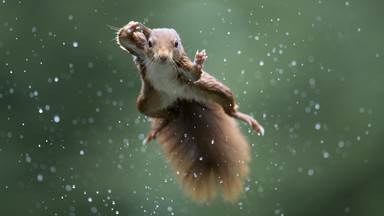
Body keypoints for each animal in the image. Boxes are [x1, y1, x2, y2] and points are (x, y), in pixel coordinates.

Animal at [115, 22, 262, 202]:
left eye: (176, 44)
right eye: (150, 43)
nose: (163, 57)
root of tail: (180, 98)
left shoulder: (182, 64)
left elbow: (194, 74)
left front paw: (199, 62)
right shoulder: (140, 49)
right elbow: (123, 39)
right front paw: (130, 28)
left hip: (211, 89)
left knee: (229, 108)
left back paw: (248, 120)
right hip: (148, 102)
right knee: (169, 114)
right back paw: (159, 127)